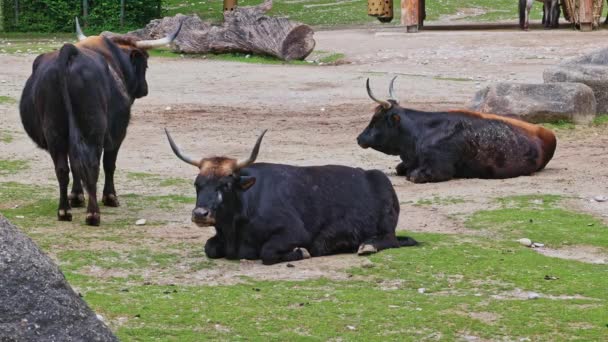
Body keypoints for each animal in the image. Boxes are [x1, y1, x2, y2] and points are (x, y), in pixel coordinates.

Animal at [21, 20, 183, 226]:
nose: (144, 89)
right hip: (94, 131)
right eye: (145, 64)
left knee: (63, 169)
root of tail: (71, 54)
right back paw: (93, 214)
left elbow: (75, 166)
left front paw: (76, 197)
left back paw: (64, 210)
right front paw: (110, 197)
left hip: (54, 133)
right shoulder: (117, 134)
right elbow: (109, 164)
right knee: (92, 166)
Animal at [358, 78, 560, 183]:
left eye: (376, 119)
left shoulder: (438, 170)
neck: (419, 134)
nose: (359, 138)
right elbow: (400, 168)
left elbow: (412, 175)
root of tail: (547, 132)